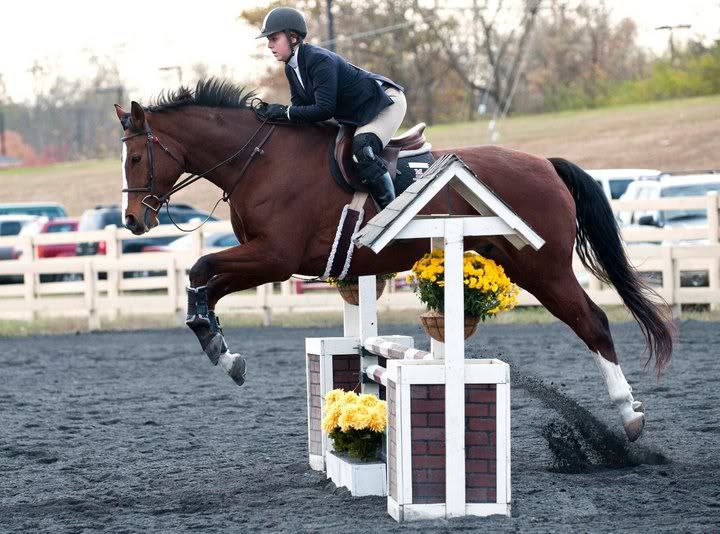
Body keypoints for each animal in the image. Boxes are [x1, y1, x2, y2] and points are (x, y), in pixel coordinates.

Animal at [116, 77, 676, 442]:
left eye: (138, 157)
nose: (133, 222)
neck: (259, 160)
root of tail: (546, 164)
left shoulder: (274, 257)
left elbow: (201, 270)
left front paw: (219, 347)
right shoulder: (266, 259)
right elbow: (205, 284)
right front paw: (220, 348)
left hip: (544, 267)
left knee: (593, 321)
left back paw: (629, 417)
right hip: (530, 266)